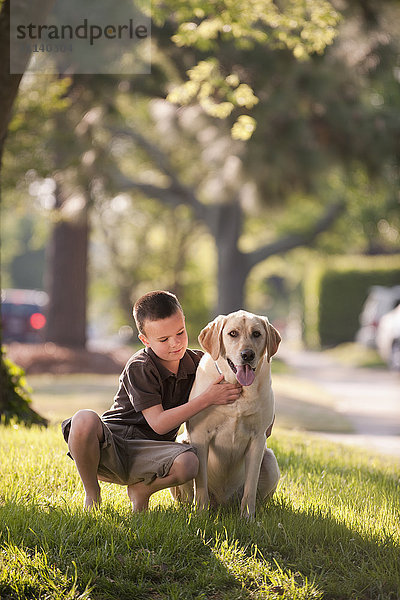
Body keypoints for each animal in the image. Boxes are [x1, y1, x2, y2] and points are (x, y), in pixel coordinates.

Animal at [175, 312, 282, 516]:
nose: (247, 355)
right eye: (233, 333)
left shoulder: (258, 439)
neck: (238, 389)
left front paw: (247, 517)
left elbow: (250, 486)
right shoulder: (200, 436)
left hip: (270, 460)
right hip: (182, 443)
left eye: (257, 334)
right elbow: (201, 483)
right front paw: (201, 515)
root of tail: (223, 503)